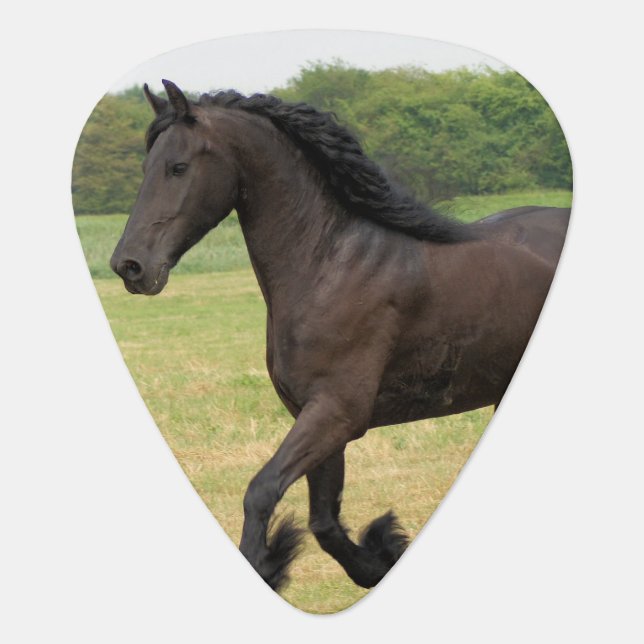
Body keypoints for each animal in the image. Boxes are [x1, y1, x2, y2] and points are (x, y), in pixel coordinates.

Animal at [110, 79, 570, 591]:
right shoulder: (314, 416)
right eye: (146, 167)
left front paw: (268, 561)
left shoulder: (337, 413)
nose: (130, 266)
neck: (331, 264)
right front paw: (378, 554)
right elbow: (323, 522)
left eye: (178, 167)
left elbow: (261, 491)